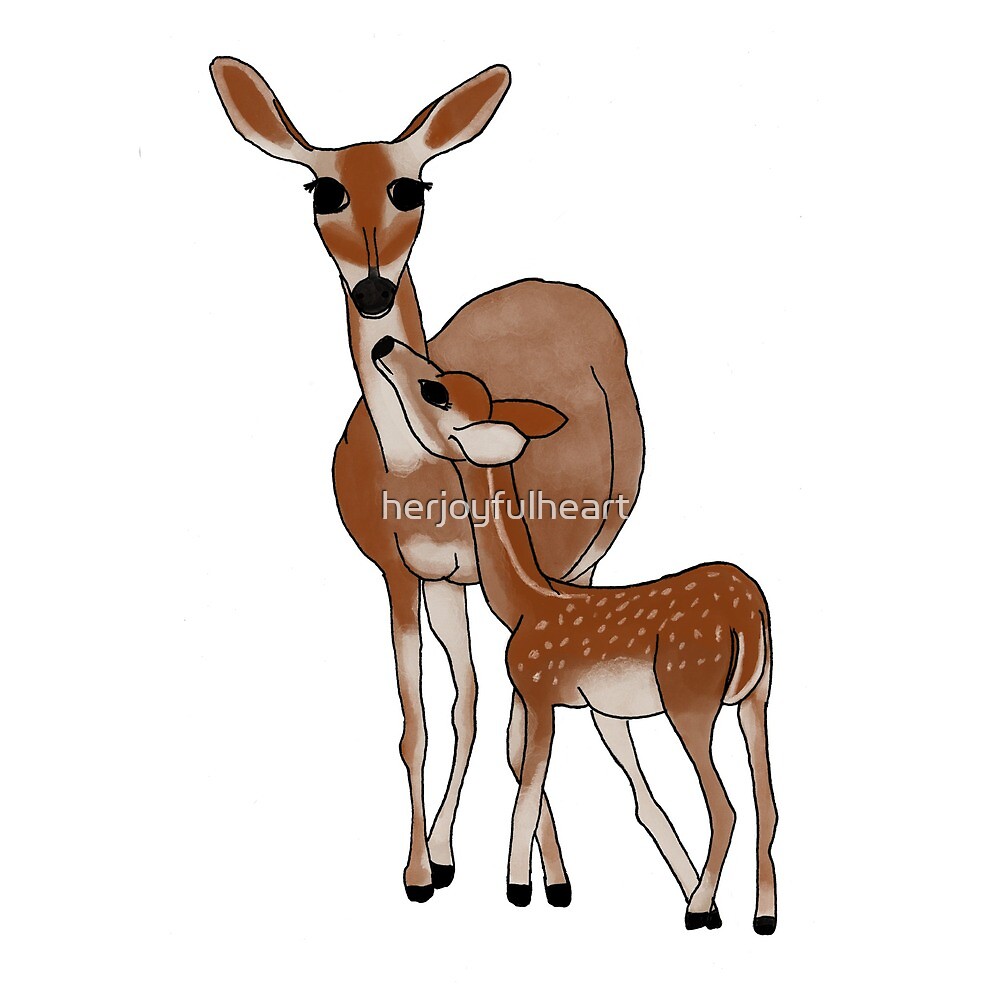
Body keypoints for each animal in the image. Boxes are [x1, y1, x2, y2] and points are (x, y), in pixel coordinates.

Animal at [209, 58, 651, 904]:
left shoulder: (524, 571)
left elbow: (520, 727)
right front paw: (424, 868)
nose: (375, 292)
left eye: (412, 185)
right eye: (323, 189)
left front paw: (546, 877)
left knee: (575, 711)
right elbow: (424, 719)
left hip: (588, 555)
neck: (416, 473)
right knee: (473, 701)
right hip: (459, 587)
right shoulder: (402, 573)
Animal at [372, 336, 778, 934]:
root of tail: (750, 608)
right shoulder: (589, 707)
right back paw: (760, 915)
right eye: (447, 380)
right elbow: (556, 779)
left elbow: (527, 784)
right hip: (758, 697)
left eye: (435, 390)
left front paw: (518, 888)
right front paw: (544, 883)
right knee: (766, 804)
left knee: (725, 806)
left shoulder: (540, 689)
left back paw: (699, 911)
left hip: (690, 695)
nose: (385, 344)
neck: (523, 603)